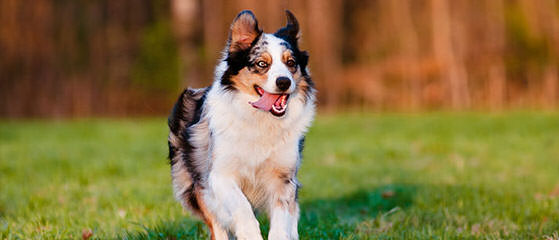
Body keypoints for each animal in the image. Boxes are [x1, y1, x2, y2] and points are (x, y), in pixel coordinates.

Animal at [166, 9, 316, 240]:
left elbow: (282, 219)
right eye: (262, 64)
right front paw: (250, 234)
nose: (284, 82)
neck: (261, 121)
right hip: (196, 185)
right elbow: (242, 207)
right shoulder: (220, 175)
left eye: (291, 63)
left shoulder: (284, 178)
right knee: (217, 224)